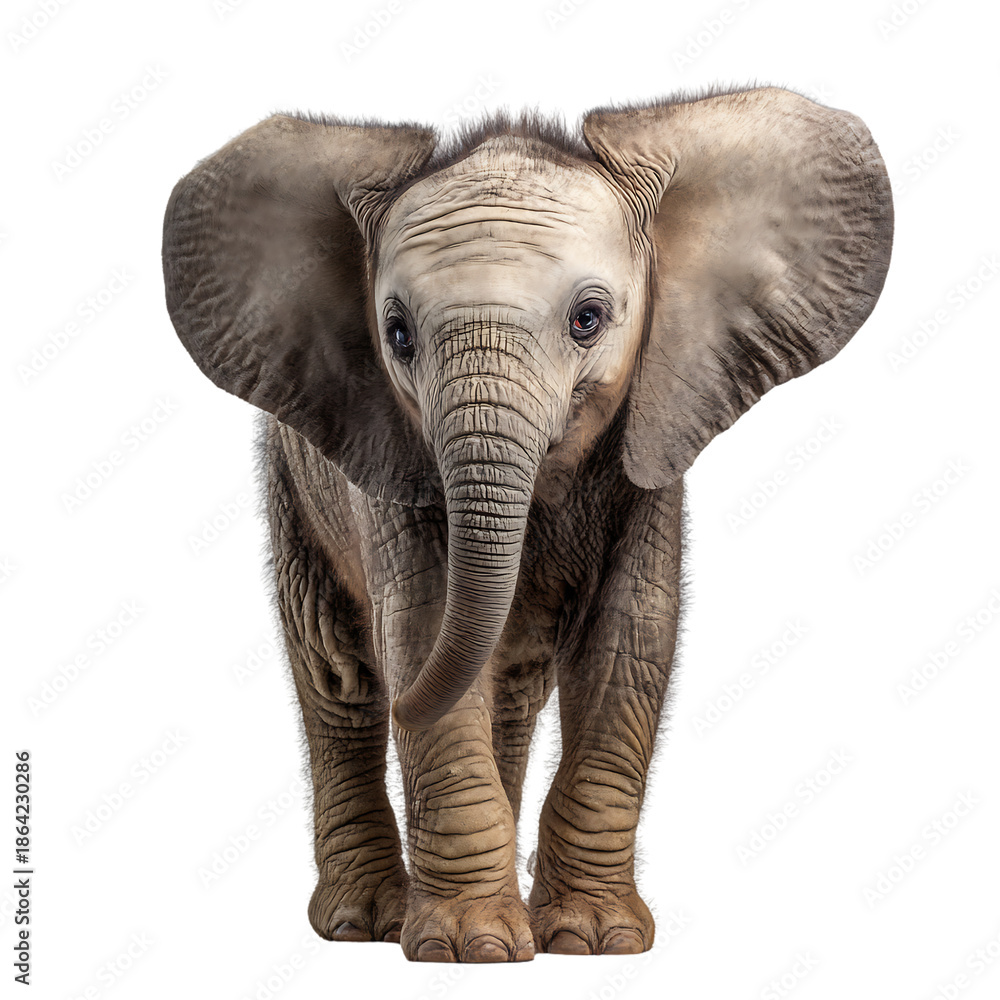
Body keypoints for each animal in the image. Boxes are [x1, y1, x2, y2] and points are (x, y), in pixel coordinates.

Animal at [161, 85, 892, 963]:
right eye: (396, 334)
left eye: (588, 319)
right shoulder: (389, 450)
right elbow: (421, 630)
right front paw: (469, 948)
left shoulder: (653, 436)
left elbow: (628, 642)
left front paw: (590, 938)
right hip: (291, 483)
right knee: (338, 681)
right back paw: (362, 922)